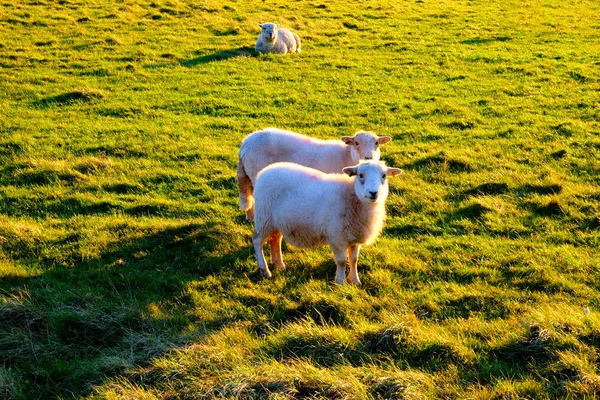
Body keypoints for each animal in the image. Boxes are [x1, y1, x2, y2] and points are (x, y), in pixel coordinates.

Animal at [237, 128, 396, 220]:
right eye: (356, 143)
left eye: (377, 143)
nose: (368, 157)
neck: (347, 155)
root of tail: (246, 143)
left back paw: (250, 218)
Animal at [251, 159, 400, 284]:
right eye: (360, 175)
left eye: (384, 176)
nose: (373, 193)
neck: (352, 198)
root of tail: (264, 172)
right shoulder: (337, 237)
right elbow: (342, 261)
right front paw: (341, 282)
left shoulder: (355, 238)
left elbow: (354, 260)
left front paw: (355, 281)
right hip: (263, 217)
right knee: (257, 240)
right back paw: (265, 270)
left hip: (276, 221)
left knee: (275, 239)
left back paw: (279, 265)